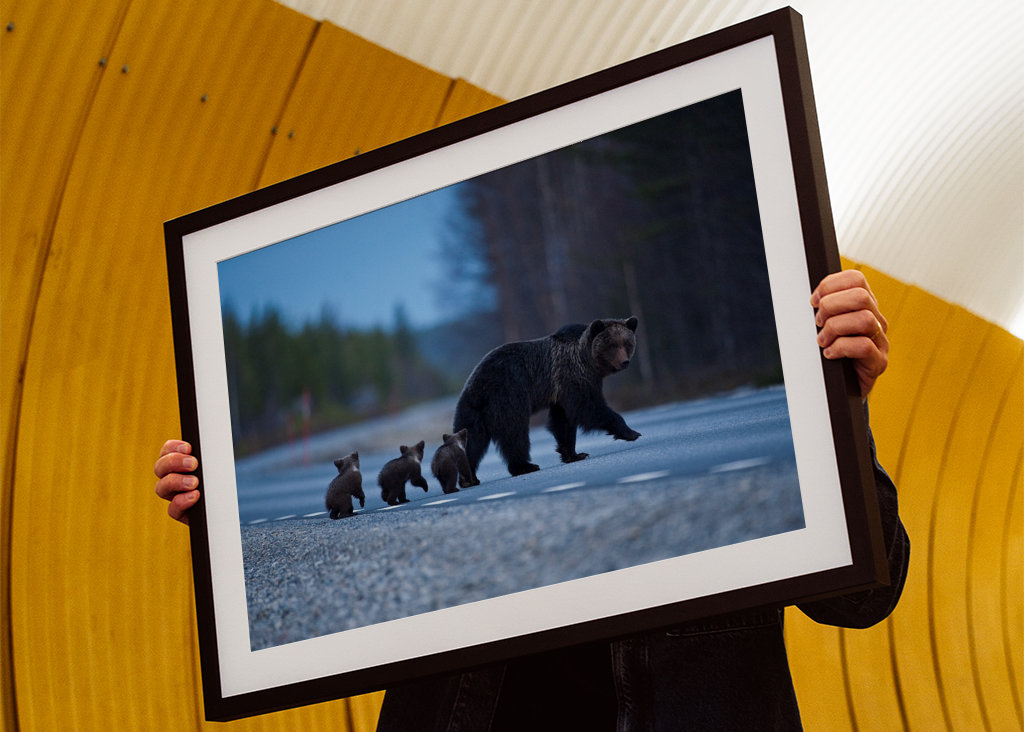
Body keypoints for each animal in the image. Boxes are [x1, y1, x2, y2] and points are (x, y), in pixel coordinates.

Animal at [453, 317, 642, 476]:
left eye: (627, 343)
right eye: (612, 345)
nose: (624, 362)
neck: (587, 360)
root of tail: (477, 383)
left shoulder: (561, 391)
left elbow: (563, 421)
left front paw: (574, 454)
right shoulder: (574, 376)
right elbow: (588, 408)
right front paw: (631, 432)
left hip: (473, 410)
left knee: (471, 439)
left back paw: (467, 474)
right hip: (507, 394)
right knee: (514, 431)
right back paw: (525, 466)